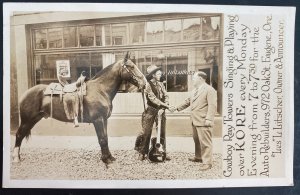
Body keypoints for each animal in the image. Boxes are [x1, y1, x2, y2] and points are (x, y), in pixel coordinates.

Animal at [12, 52, 146, 164]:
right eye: (131, 67)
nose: (144, 83)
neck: (100, 89)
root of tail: (25, 94)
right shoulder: (98, 120)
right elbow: (102, 139)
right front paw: (105, 159)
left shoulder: (104, 120)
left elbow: (105, 138)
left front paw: (109, 157)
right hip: (27, 120)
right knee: (19, 135)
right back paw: (16, 158)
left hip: (33, 120)